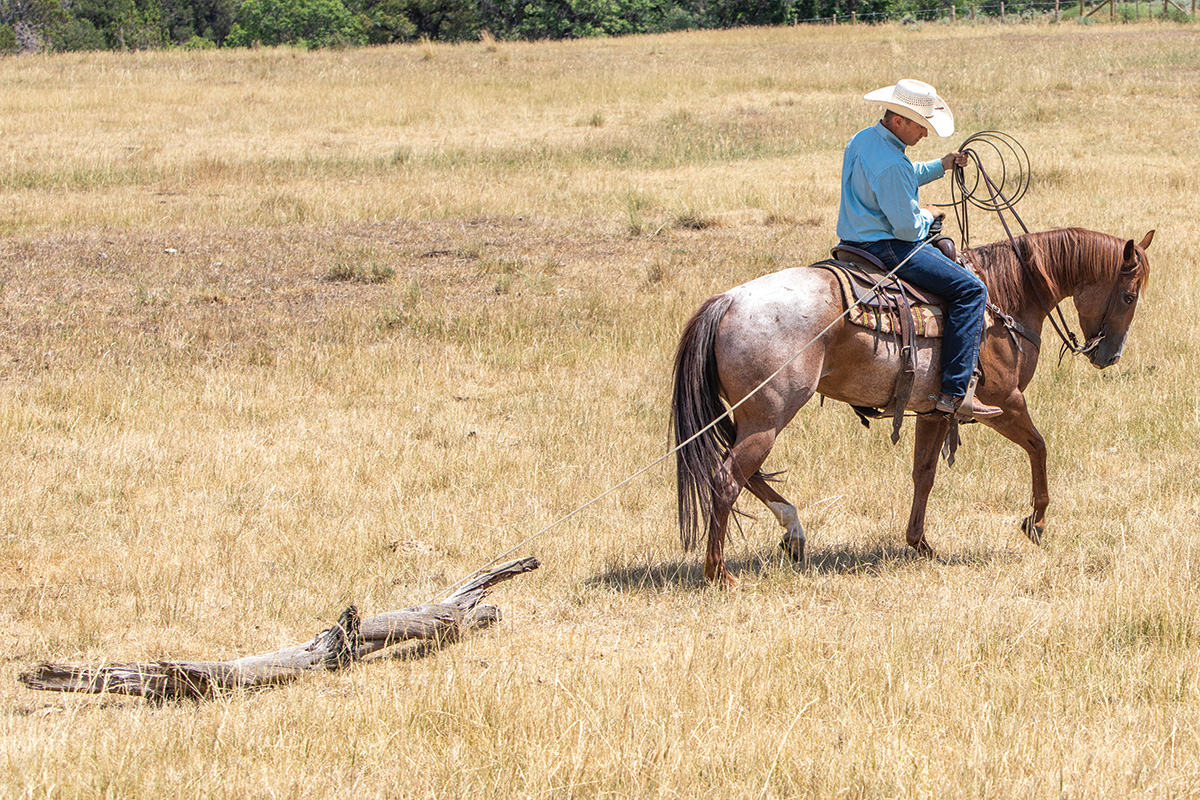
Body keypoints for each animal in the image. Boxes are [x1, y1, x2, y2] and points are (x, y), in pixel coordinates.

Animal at [676, 226, 1152, 587]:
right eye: (1130, 296)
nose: (1109, 356)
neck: (1007, 296)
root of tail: (727, 301)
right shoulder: (1006, 402)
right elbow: (1039, 447)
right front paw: (1034, 522)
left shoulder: (935, 410)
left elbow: (924, 473)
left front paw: (919, 542)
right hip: (768, 417)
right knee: (727, 478)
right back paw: (720, 573)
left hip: (752, 417)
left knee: (745, 474)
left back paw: (792, 532)